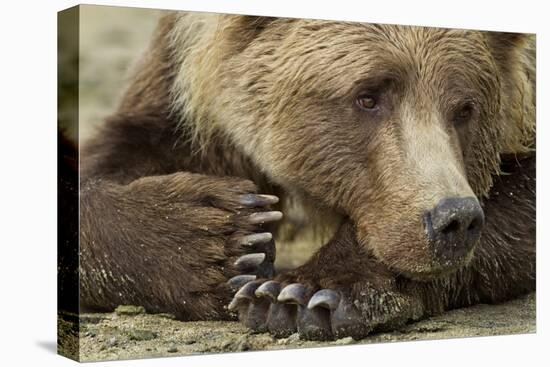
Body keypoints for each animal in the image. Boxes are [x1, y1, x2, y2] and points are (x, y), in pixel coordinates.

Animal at [76, 12, 536, 342]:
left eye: (465, 108)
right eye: (367, 96)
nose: (453, 219)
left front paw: (302, 294)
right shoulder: (178, 85)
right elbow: (116, 157)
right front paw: (221, 237)